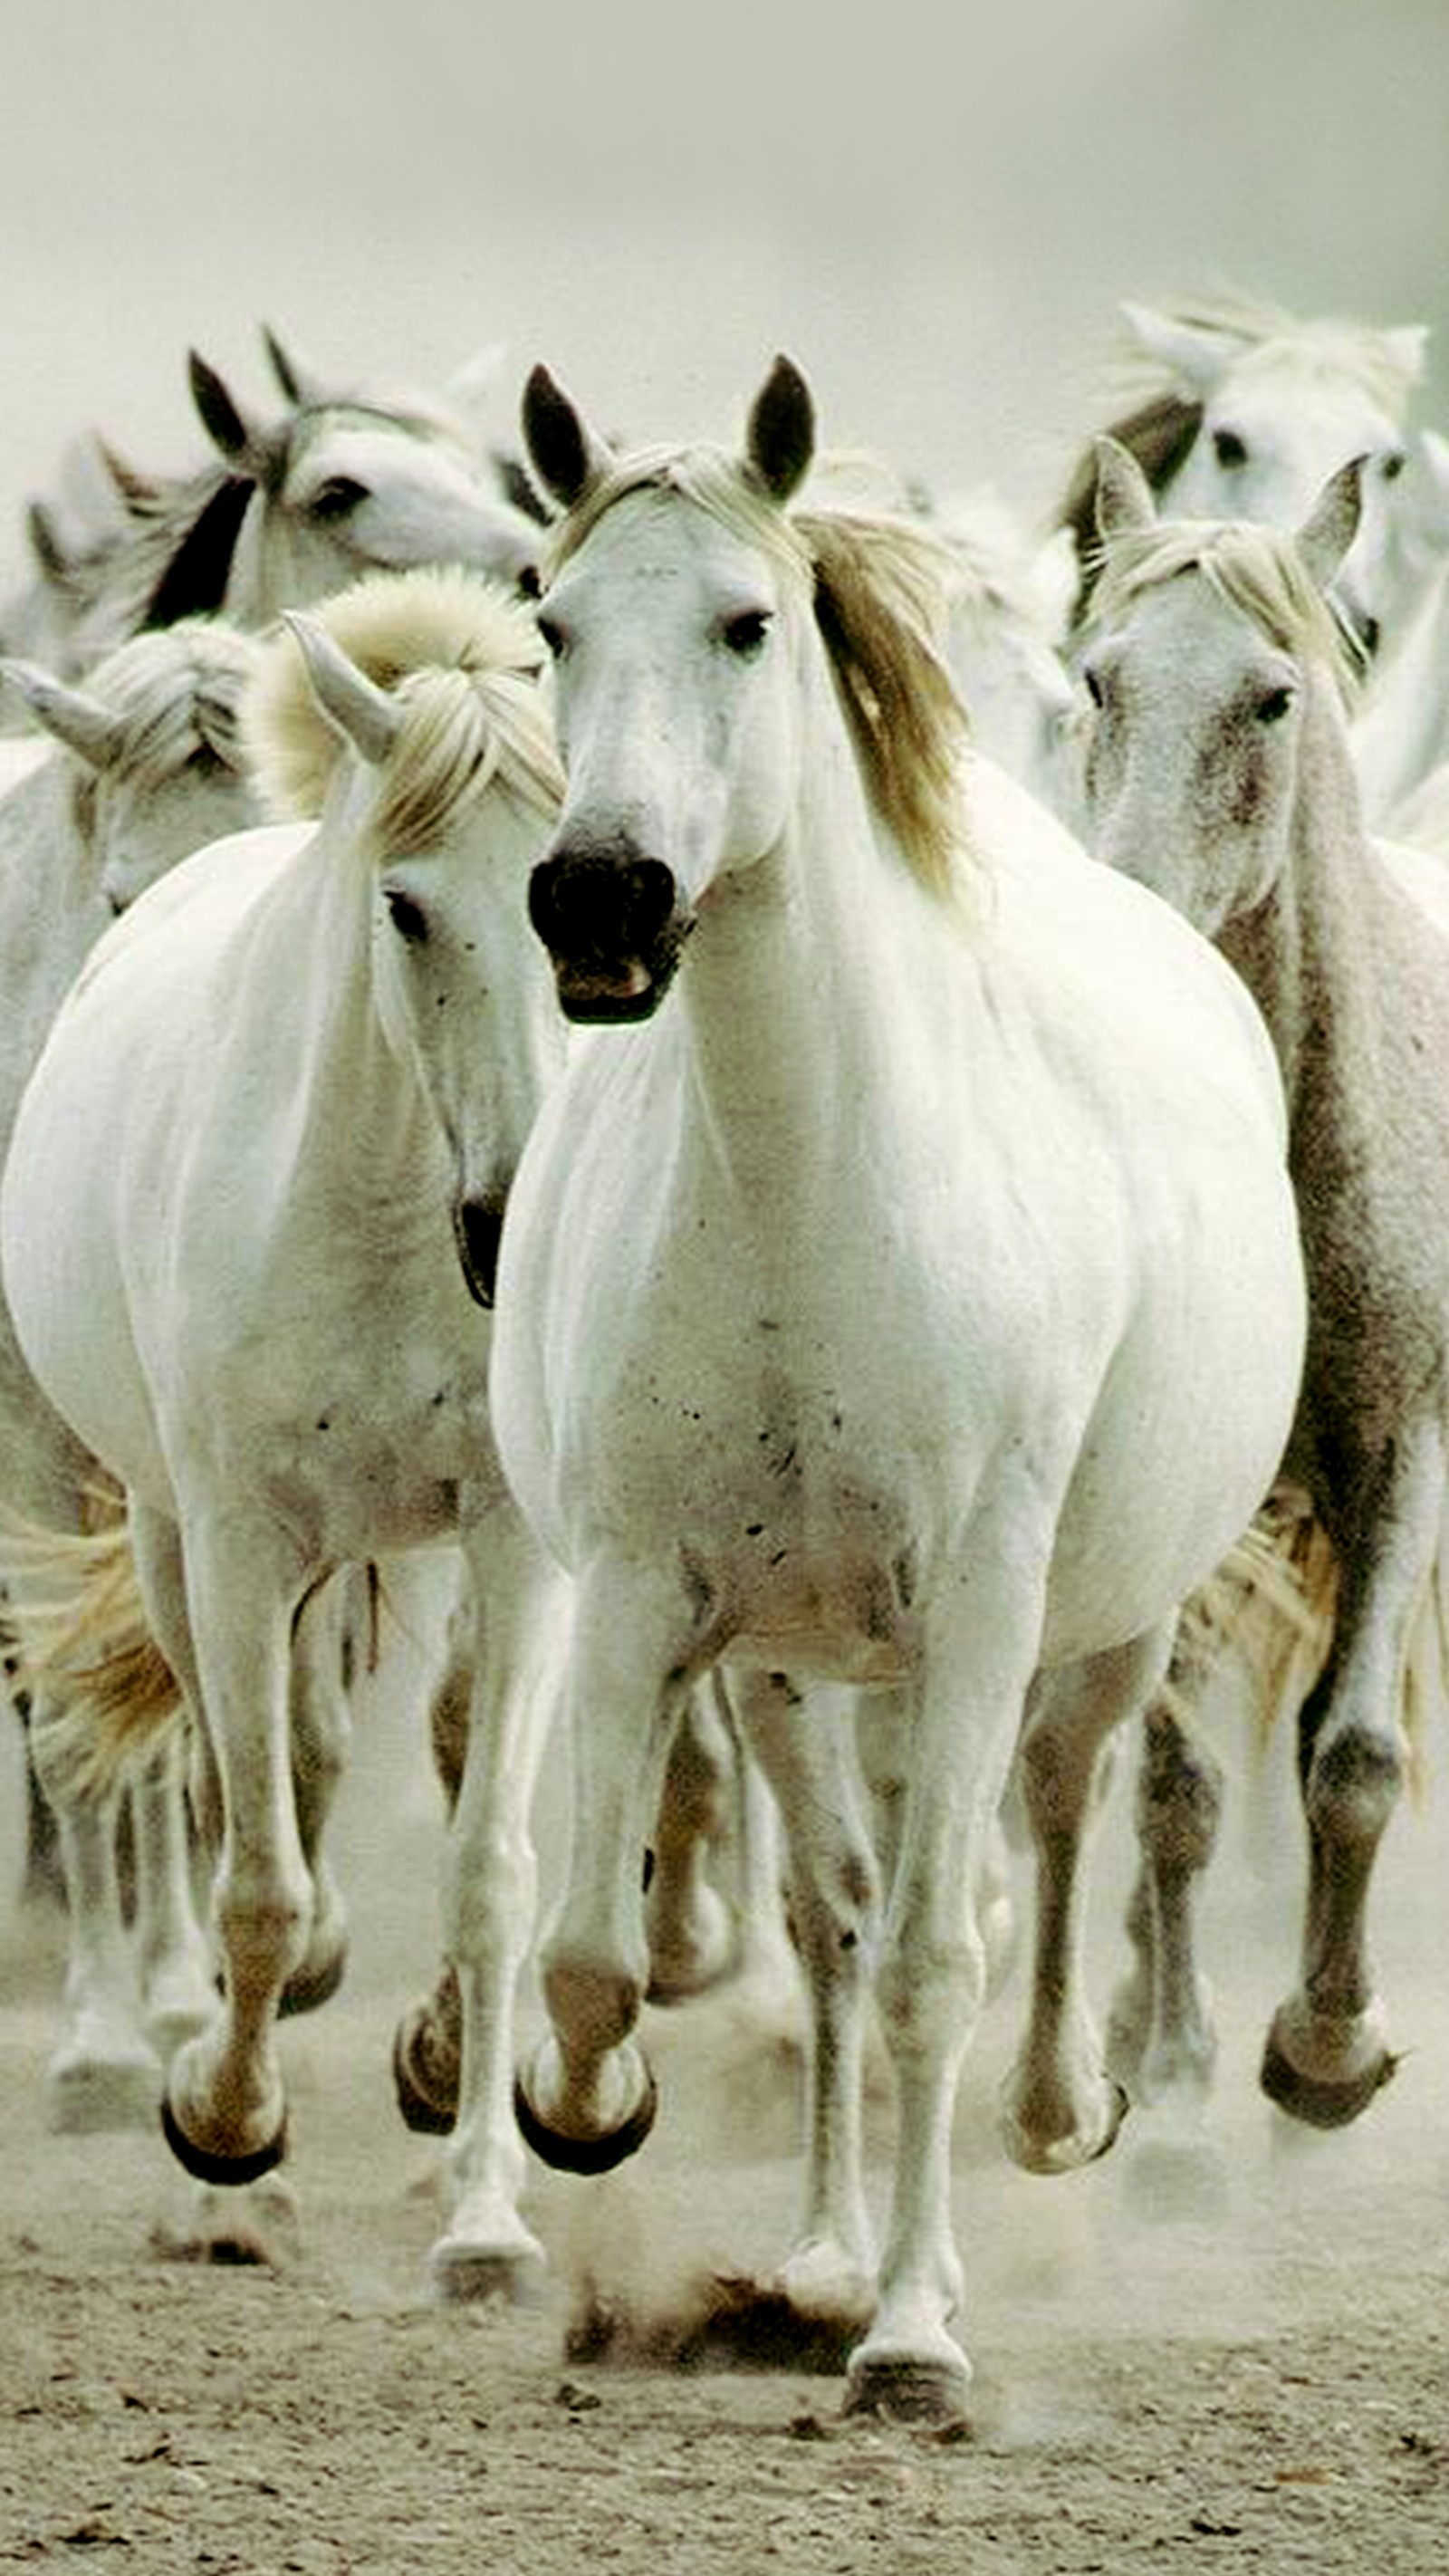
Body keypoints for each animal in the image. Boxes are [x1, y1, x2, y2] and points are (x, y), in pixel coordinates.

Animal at [4, 569, 573, 2297]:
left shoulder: (514, 1543)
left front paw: (485, 2215)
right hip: (164, 1529)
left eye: (598, 906)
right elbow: (252, 1869)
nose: (511, 1227)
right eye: (407, 907)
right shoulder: (243, 1542)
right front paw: (228, 2147)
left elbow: (487, 1867)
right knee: (211, 1761)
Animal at [494, 358, 1307, 2410]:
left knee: (1054, 1823)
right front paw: (588, 2117)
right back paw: (820, 2255)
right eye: (549, 624)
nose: (599, 897)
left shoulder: (975, 1614)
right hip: (799, 1662)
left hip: (1092, 1625)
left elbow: (949, 1952)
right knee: (834, 1918)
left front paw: (921, 2339)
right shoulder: (644, 1596)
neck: (806, 1190)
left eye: (746, 622)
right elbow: (601, 1954)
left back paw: (1051, 2117)